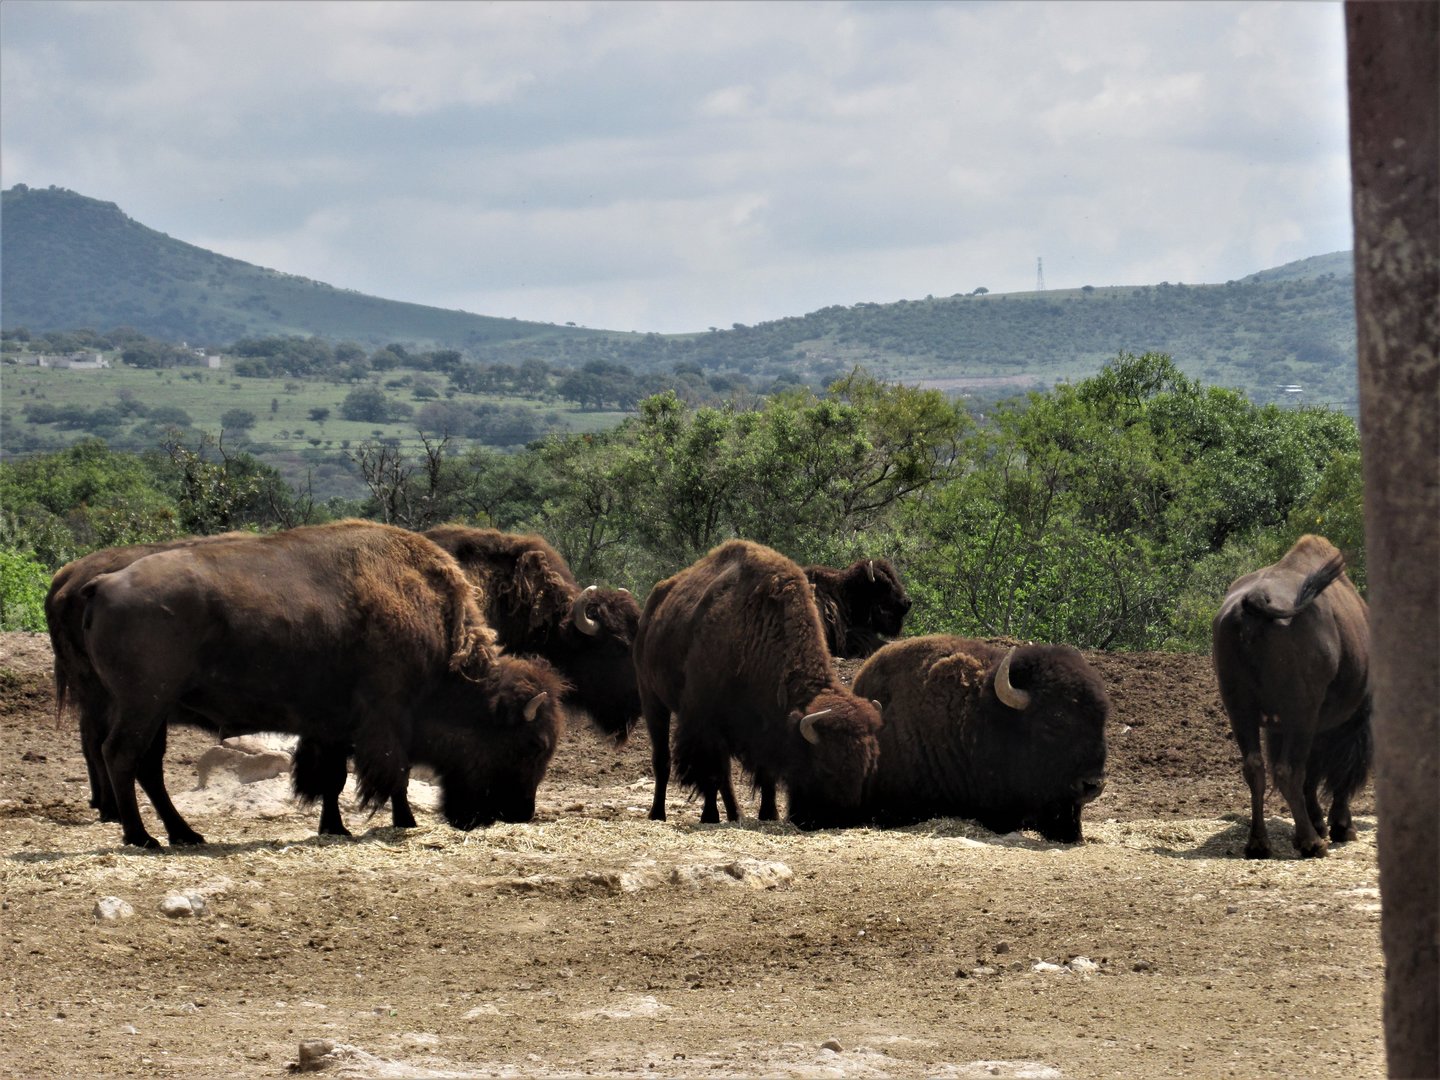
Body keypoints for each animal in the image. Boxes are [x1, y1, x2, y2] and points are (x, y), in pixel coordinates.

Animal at [79, 520, 566, 848]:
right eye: (534, 745)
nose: (519, 814)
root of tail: (104, 582)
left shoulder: (333, 725)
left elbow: (333, 778)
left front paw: (334, 826)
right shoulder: (386, 717)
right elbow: (393, 773)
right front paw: (402, 821)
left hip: (154, 710)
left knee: (148, 766)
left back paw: (185, 834)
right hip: (143, 704)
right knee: (120, 755)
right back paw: (141, 837)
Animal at [634, 539, 882, 827]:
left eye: (868, 765)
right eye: (826, 768)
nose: (844, 818)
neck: (754, 631)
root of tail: (653, 605)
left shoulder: (763, 725)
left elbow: (765, 774)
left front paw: (768, 814)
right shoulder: (704, 722)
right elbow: (711, 774)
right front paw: (710, 817)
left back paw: (735, 814)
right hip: (652, 699)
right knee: (663, 760)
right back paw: (658, 813)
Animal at [1212, 534, 1372, 858]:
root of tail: (1254, 602)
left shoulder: (1281, 727)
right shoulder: (1347, 720)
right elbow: (1338, 772)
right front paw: (1339, 827)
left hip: (1240, 710)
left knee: (1256, 768)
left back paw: (1259, 843)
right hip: (1300, 714)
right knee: (1289, 772)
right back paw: (1312, 843)